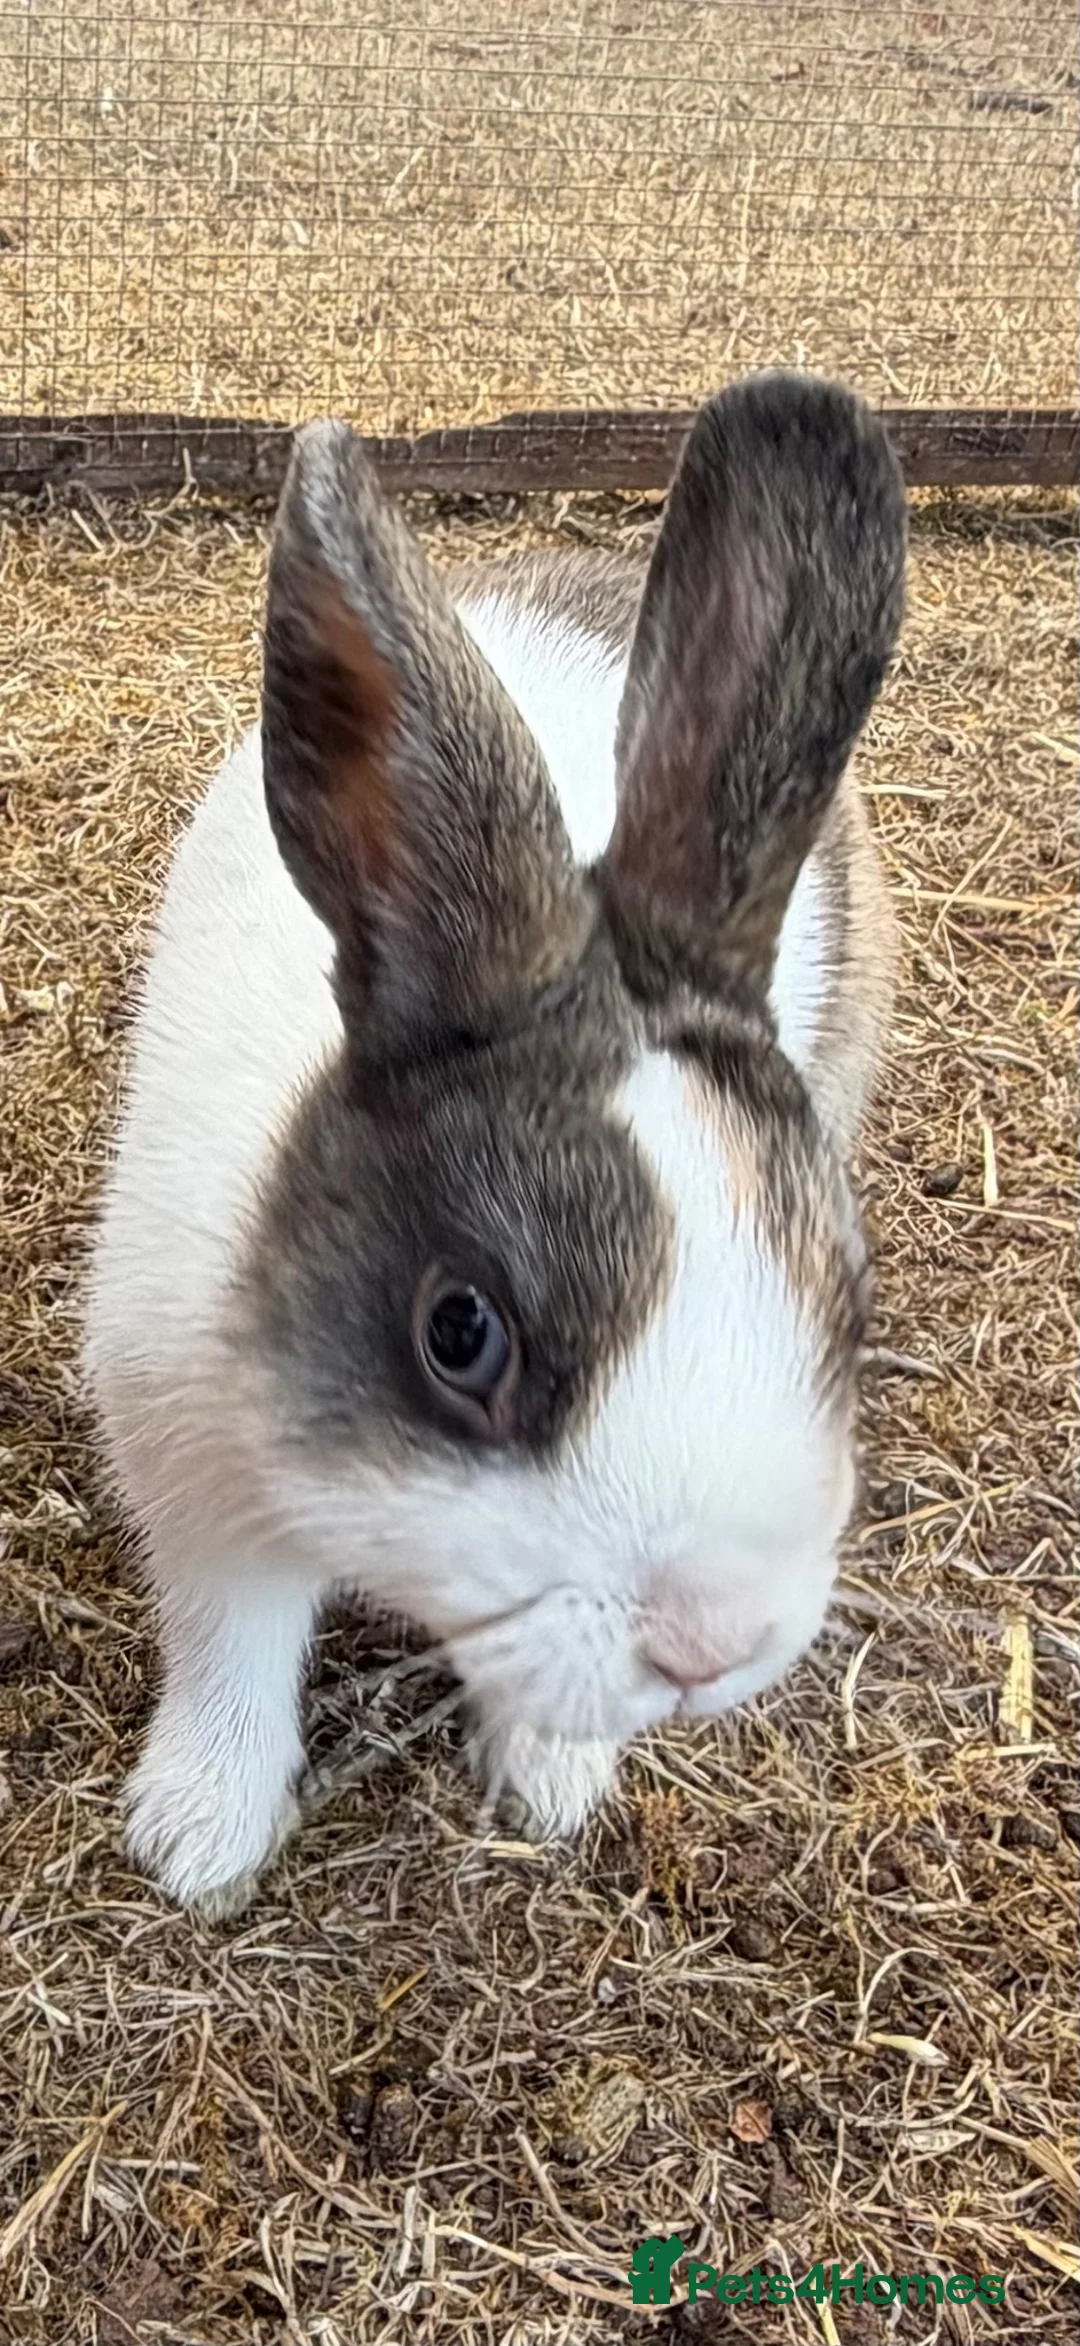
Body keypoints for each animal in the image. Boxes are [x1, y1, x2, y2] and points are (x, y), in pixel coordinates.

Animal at [83, 370, 906, 1914]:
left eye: (849, 1302)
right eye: (461, 1333)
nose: (711, 1643)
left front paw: (554, 1781)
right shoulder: (196, 1476)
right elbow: (232, 1652)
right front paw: (197, 1839)